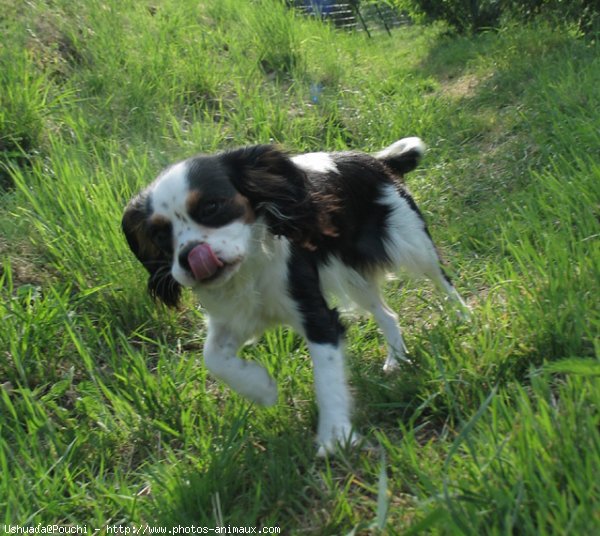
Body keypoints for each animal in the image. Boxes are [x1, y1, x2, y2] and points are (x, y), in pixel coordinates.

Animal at [123, 138, 468, 456]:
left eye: (211, 207)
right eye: (159, 235)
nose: (189, 257)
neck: (248, 268)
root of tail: (377, 160)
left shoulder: (315, 315)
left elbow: (327, 378)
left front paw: (335, 437)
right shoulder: (235, 318)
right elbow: (214, 358)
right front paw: (261, 389)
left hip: (411, 245)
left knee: (443, 281)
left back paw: (464, 319)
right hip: (352, 276)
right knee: (387, 314)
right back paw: (396, 359)